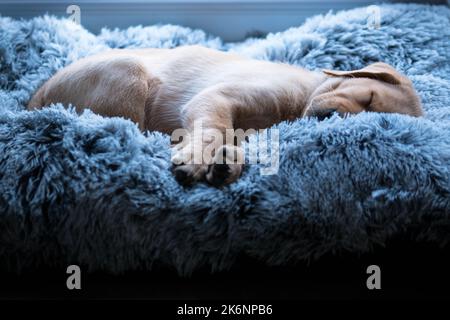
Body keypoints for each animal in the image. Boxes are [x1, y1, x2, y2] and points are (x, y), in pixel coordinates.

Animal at [27, 45, 422, 185]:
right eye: (368, 97)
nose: (330, 120)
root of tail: (33, 100)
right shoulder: (216, 98)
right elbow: (214, 128)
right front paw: (198, 158)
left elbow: (232, 137)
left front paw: (226, 162)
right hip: (128, 74)